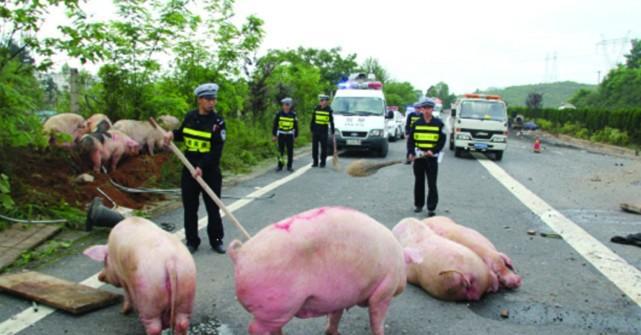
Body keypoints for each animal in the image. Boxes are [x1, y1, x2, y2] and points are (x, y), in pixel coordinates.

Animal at [228, 207, 422, 335]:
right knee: (254, 328)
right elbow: (377, 318)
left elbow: (335, 316)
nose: (402, 285)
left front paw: (335, 333)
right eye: (406, 268)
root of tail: (241, 253)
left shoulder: (339, 297)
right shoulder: (385, 290)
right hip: (275, 307)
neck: (398, 262)